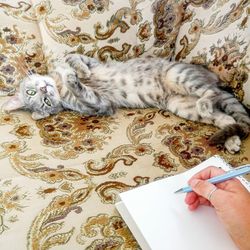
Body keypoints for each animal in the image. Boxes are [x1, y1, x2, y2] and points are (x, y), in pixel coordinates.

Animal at [2, 53, 250, 153]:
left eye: (33, 91)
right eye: (44, 102)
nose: (45, 89)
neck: (59, 85)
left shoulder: (89, 60)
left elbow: (74, 57)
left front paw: (77, 72)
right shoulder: (102, 105)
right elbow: (86, 92)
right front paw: (75, 80)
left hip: (178, 76)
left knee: (214, 95)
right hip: (182, 105)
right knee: (223, 115)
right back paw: (231, 140)